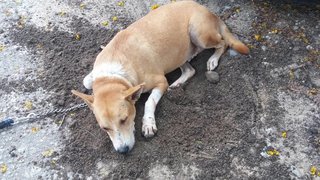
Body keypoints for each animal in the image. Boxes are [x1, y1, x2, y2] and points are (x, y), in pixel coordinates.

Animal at [71, 0, 249, 154]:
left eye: (124, 119)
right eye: (104, 128)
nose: (123, 151)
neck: (114, 76)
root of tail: (207, 10)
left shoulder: (160, 81)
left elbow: (149, 101)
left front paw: (148, 124)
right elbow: (86, 80)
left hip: (199, 33)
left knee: (223, 43)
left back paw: (212, 59)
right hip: (177, 54)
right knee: (190, 69)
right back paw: (179, 81)